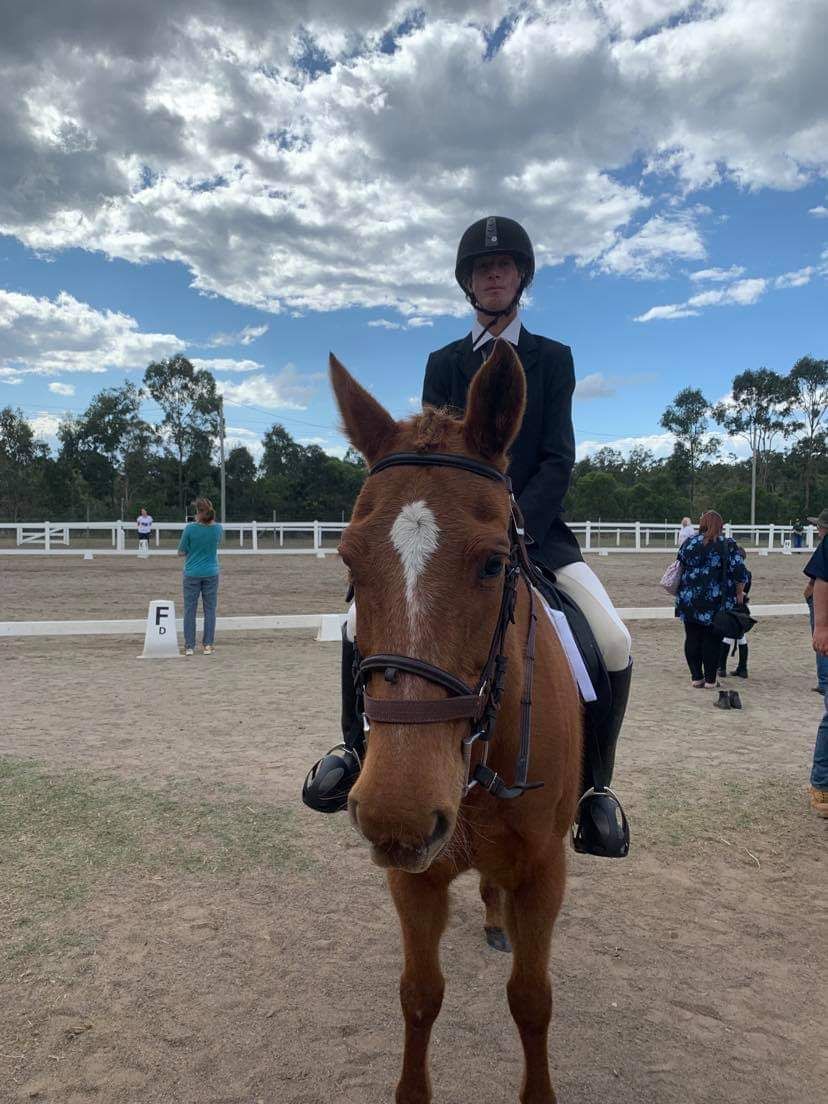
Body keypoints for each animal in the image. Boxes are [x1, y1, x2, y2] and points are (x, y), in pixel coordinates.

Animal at [330, 338, 582, 1104]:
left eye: (495, 564)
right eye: (348, 559)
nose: (399, 816)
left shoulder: (545, 873)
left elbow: (532, 999)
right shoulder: (412, 877)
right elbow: (419, 995)